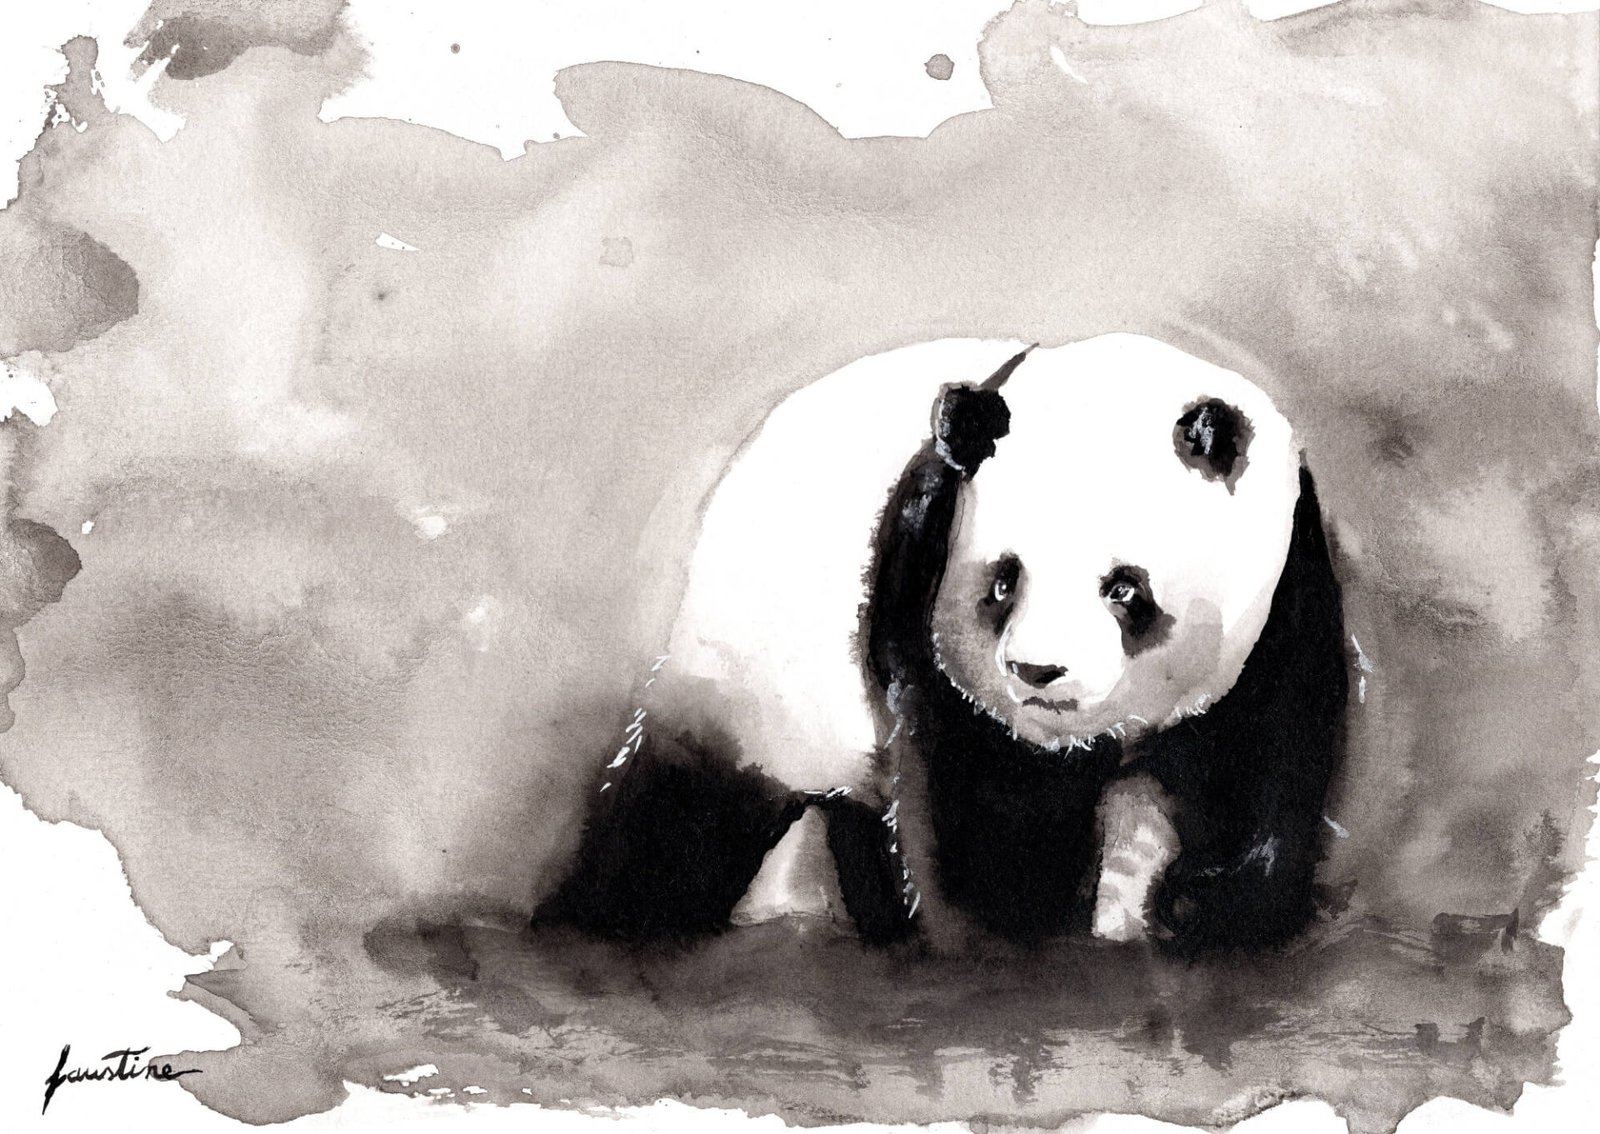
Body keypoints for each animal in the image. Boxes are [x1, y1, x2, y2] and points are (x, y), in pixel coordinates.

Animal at [535, 333, 1348, 954]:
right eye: (1003, 581)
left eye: (1124, 589)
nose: (1038, 672)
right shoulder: (920, 572)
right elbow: (981, 806)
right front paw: (1012, 925)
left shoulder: (1287, 589)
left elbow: (1270, 757)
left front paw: (1202, 905)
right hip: (746, 677)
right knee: (677, 824)